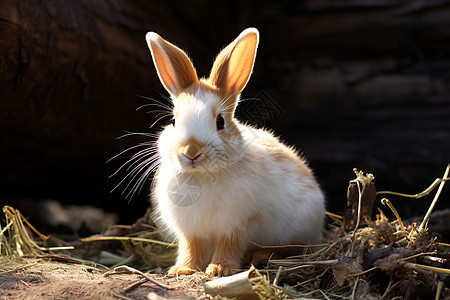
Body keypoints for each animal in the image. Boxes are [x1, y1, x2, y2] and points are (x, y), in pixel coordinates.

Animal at [146, 27, 326, 276]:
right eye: (173, 120)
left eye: (220, 122)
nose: (191, 151)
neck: (203, 176)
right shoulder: (193, 230)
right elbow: (192, 247)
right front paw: (182, 269)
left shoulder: (238, 225)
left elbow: (229, 245)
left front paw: (219, 269)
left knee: (293, 248)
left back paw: (260, 255)